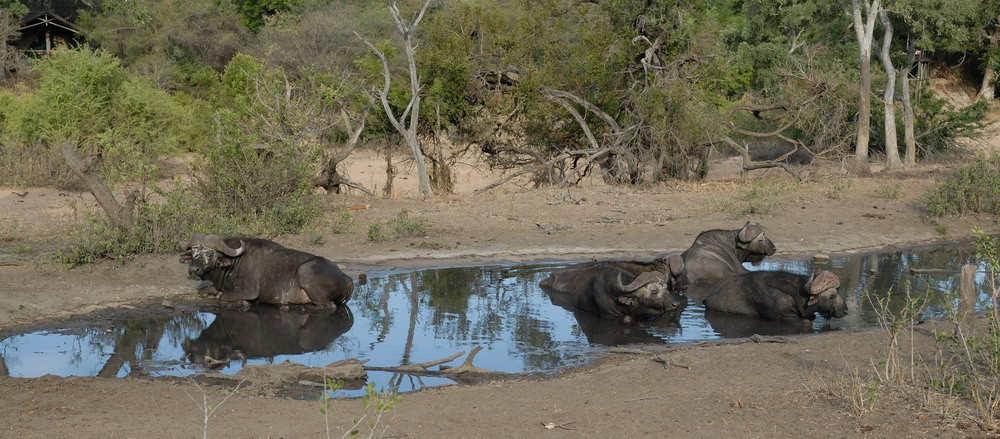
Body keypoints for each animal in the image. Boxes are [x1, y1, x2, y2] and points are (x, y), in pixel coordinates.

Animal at [180, 234, 356, 310]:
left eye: (209, 254)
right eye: (193, 252)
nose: (193, 269)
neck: (232, 263)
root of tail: (347, 278)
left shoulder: (249, 290)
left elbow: (222, 297)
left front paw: (243, 302)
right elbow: (204, 291)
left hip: (305, 271)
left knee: (328, 306)